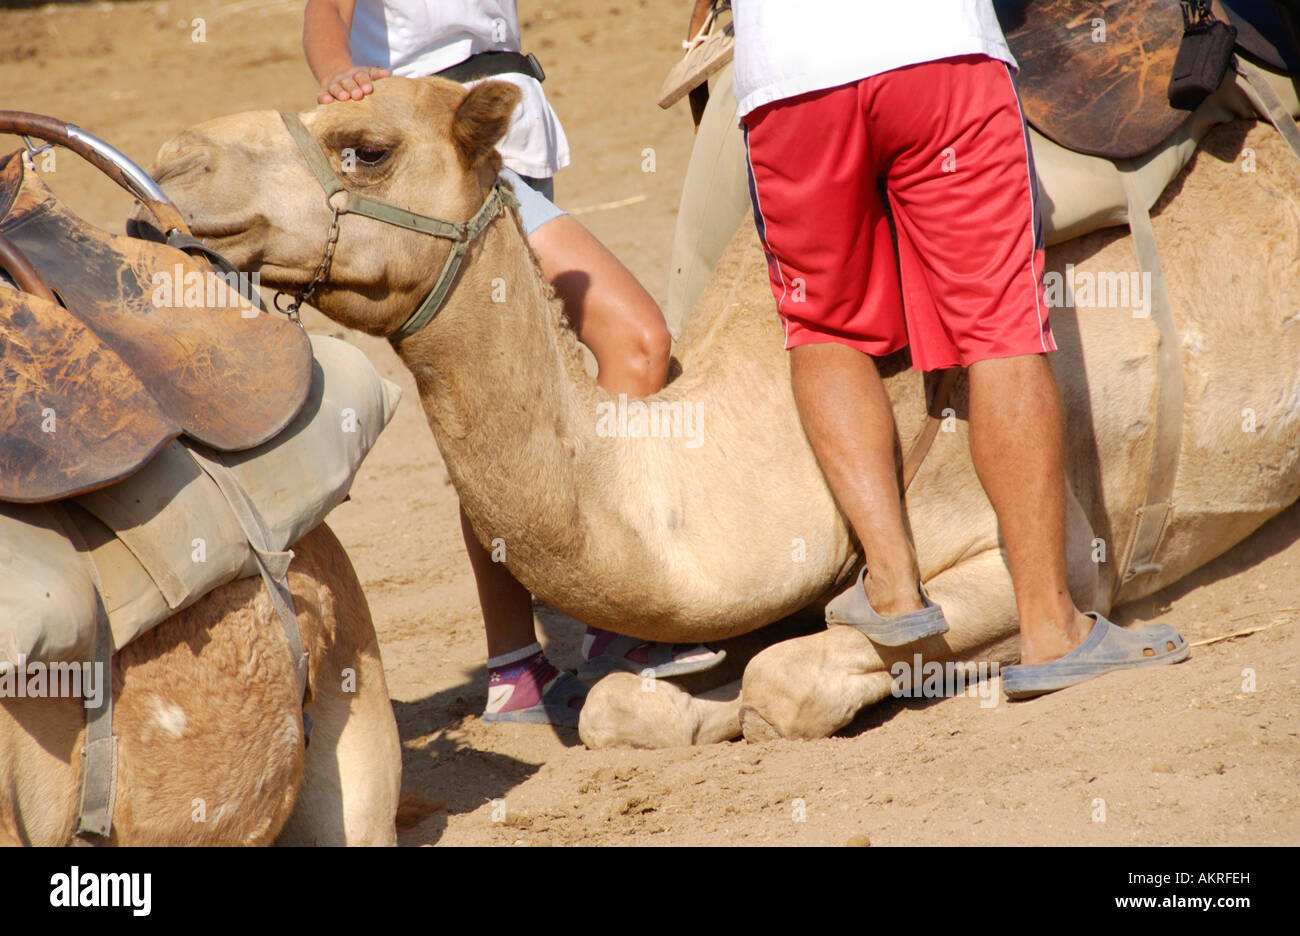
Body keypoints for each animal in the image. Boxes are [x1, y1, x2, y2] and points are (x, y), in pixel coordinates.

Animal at [146, 77, 1300, 747]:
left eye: (367, 147)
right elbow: (613, 706)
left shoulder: (1055, 550)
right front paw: (684, 713)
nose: (170, 161)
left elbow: (793, 681)